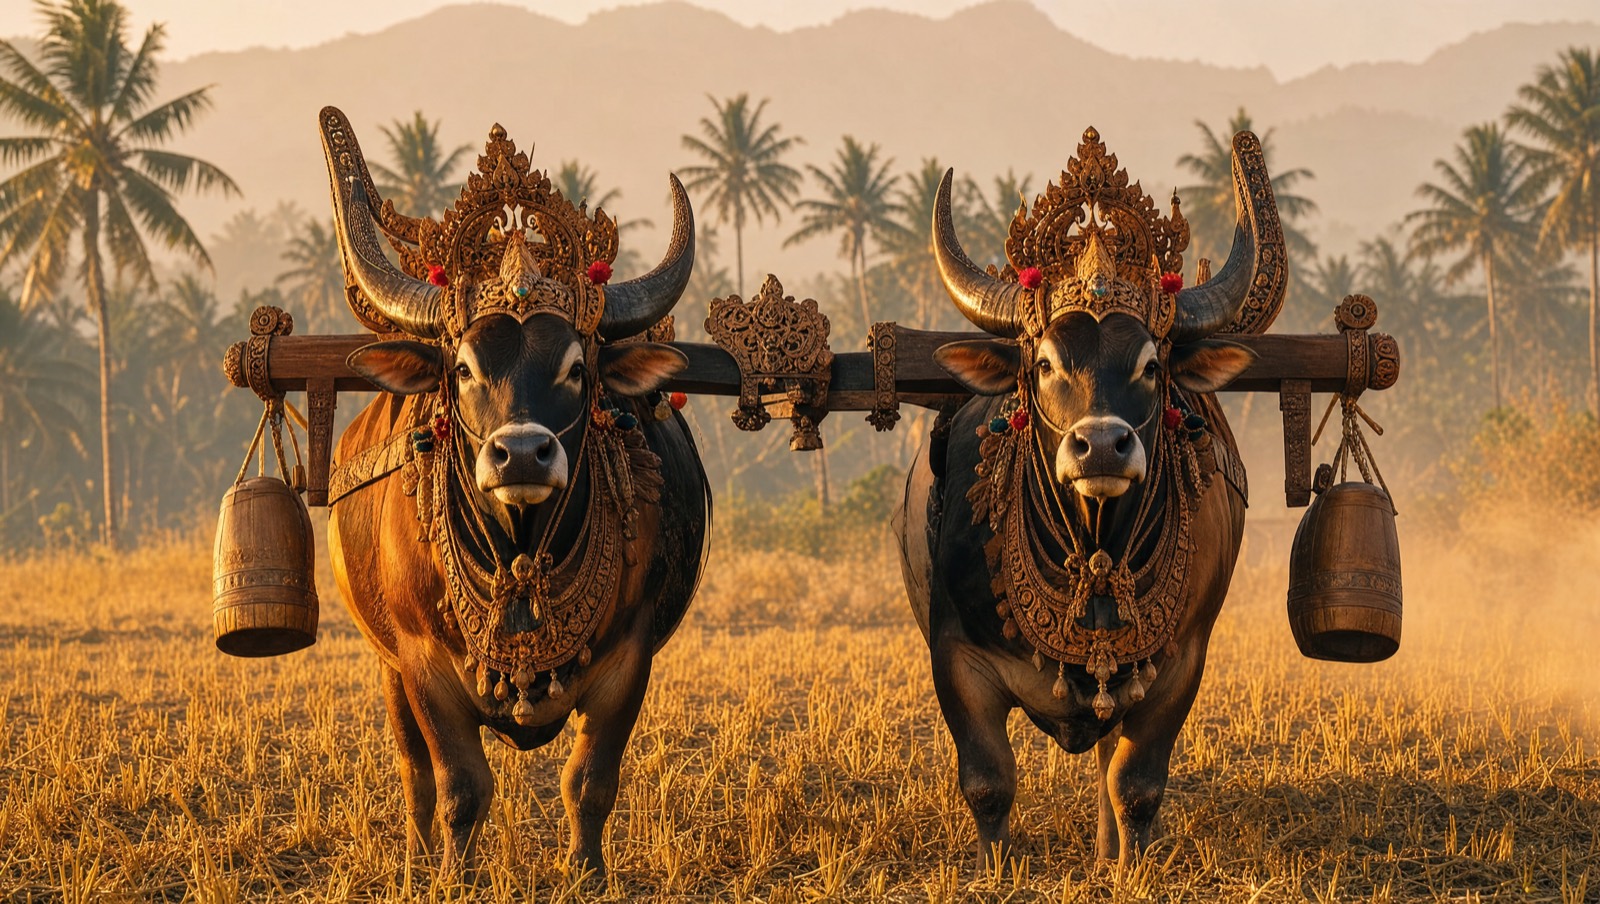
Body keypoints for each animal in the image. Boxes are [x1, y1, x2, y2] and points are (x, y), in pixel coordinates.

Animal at [318, 112, 708, 878]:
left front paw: (586, 874)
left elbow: (589, 782)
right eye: (465, 367)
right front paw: (451, 877)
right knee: (412, 769)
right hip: (385, 664)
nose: (523, 452)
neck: (521, 555)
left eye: (576, 368)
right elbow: (460, 786)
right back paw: (415, 860)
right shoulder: (420, 663)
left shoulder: (631, 659)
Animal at [895, 129, 1279, 869]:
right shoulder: (955, 660)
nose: (1101, 447)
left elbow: (1135, 783)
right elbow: (987, 780)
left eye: (1152, 366)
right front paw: (995, 870)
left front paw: (1128, 867)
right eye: (1044, 363)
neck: (1095, 554)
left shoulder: (1181, 663)